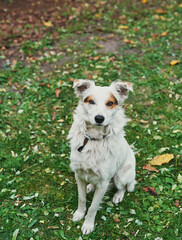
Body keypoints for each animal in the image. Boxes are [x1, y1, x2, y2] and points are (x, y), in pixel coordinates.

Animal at [67, 79, 136, 234]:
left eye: (110, 103)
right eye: (91, 101)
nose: (99, 118)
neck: (94, 139)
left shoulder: (104, 182)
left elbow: (93, 207)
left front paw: (88, 224)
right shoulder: (78, 174)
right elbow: (82, 199)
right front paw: (79, 214)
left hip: (120, 176)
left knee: (123, 187)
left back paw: (118, 195)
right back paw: (90, 186)